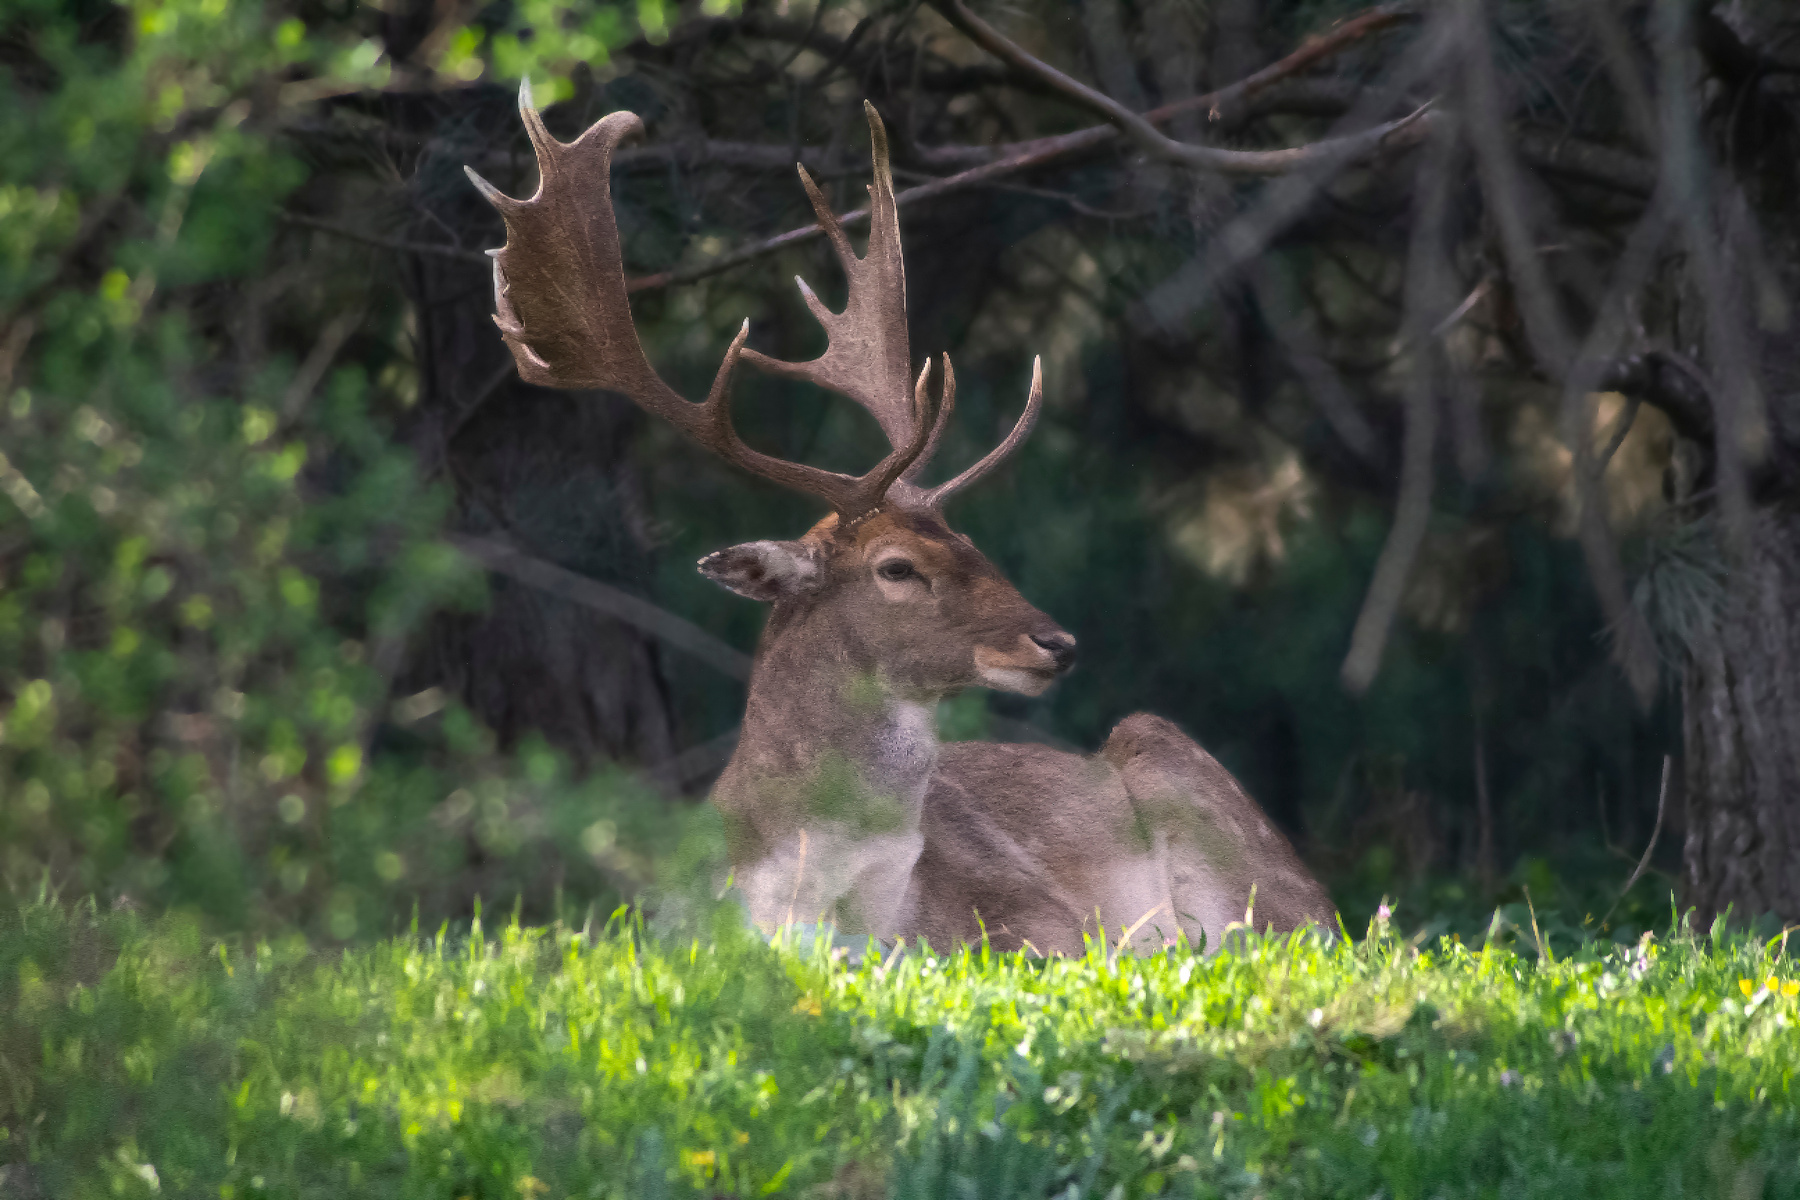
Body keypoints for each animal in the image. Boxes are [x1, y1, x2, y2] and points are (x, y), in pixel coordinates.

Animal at [468, 86, 1336, 955]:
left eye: (972, 543)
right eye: (896, 567)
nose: (1056, 642)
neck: (826, 915)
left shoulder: (1040, 919)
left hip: (1205, 800)